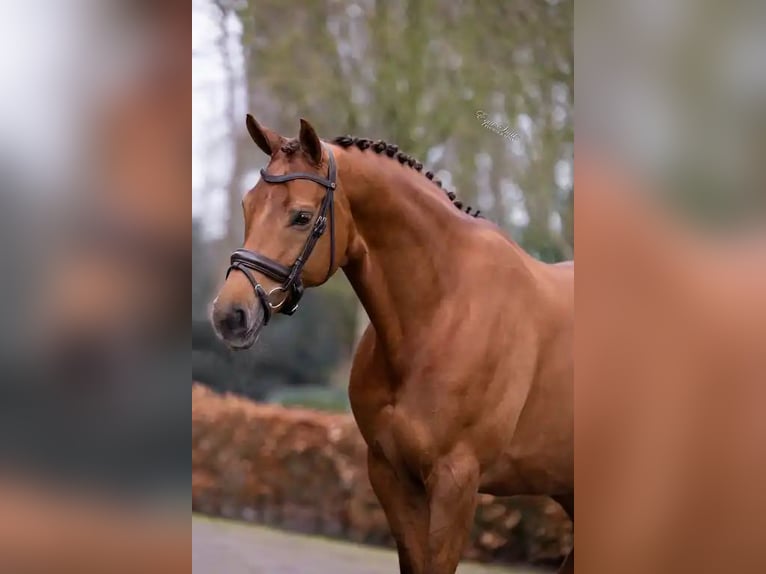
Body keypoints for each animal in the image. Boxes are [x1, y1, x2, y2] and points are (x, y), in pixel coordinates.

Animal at [211, 115, 574, 574]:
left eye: (301, 216)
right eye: (248, 206)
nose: (230, 315)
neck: (440, 312)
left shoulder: (456, 482)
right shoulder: (390, 475)